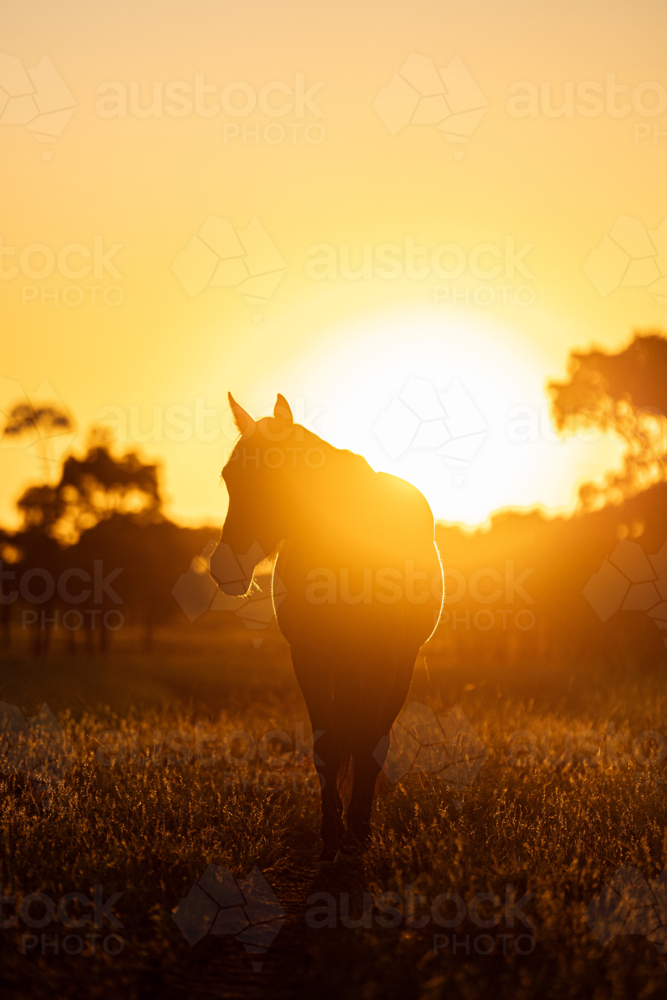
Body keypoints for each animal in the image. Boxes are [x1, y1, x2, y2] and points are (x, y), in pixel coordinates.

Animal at [211, 393, 443, 864]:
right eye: (228, 477)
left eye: (275, 480)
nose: (224, 569)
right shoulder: (309, 658)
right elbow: (328, 747)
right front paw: (330, 835)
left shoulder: (383, 662)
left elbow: (366, 743)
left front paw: (355, 835)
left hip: (396, 667)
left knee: (373, 739)